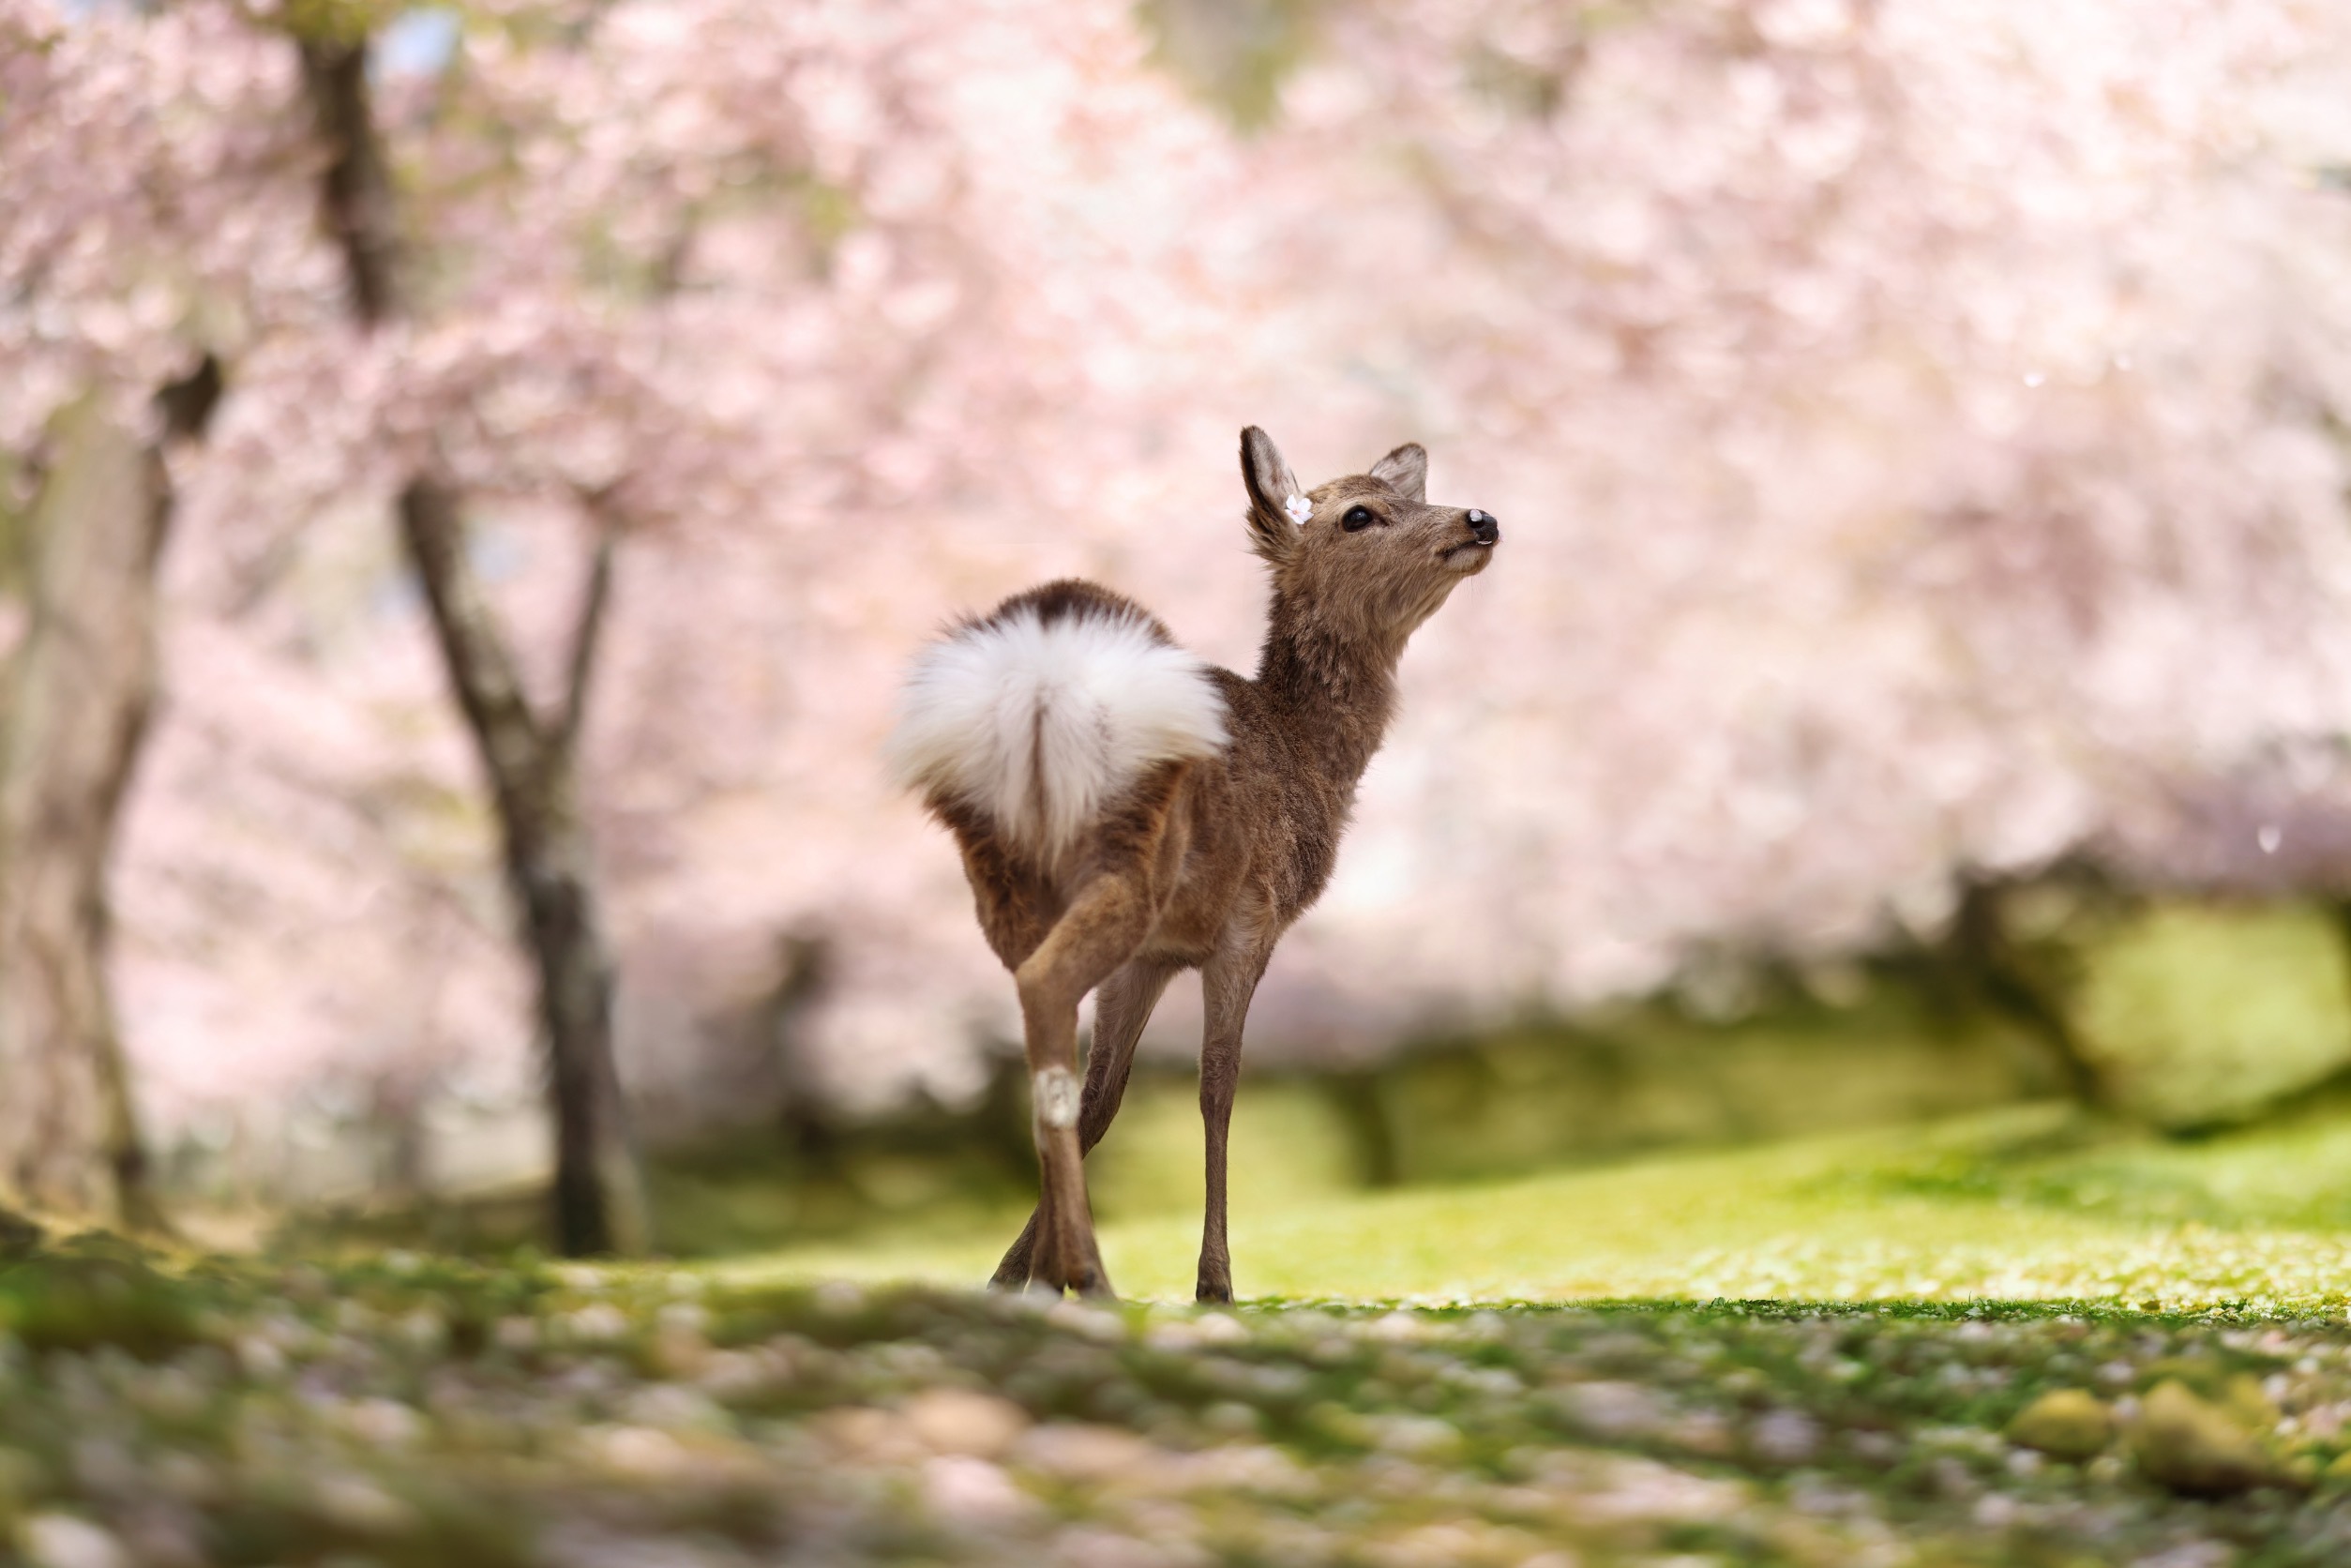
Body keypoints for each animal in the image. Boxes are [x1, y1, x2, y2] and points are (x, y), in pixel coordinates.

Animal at [888, 425, 1495, 1297]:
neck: (1308, 757)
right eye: (1358, 514)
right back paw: (1095, 1277)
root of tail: (1037, 686)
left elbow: (1103, 1096)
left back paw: (1063, 1275)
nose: (1479, 517)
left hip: (999, 868)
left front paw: (1013, 1276)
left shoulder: (1153, 956)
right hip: (1128, 854)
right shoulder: (1251, 917)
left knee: (1040, 1030)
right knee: (1047, 991)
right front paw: (1214, 1285)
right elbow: (1217, 1087)